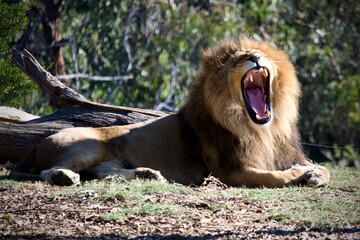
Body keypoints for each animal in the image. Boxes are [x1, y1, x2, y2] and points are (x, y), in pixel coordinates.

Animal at [13, 37, 330, 188]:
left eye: (260, 54)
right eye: (237, 59)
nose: (254, 57)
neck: (261, 129)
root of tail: (37, 146)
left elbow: (325, 169)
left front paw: (313, 172)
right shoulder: (228, 171)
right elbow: (272, 177)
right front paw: (301, 175)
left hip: (106, 159)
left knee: (102, 173)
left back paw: (148, 175)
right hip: (85, 146)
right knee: (50, 171)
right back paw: (65, 177)